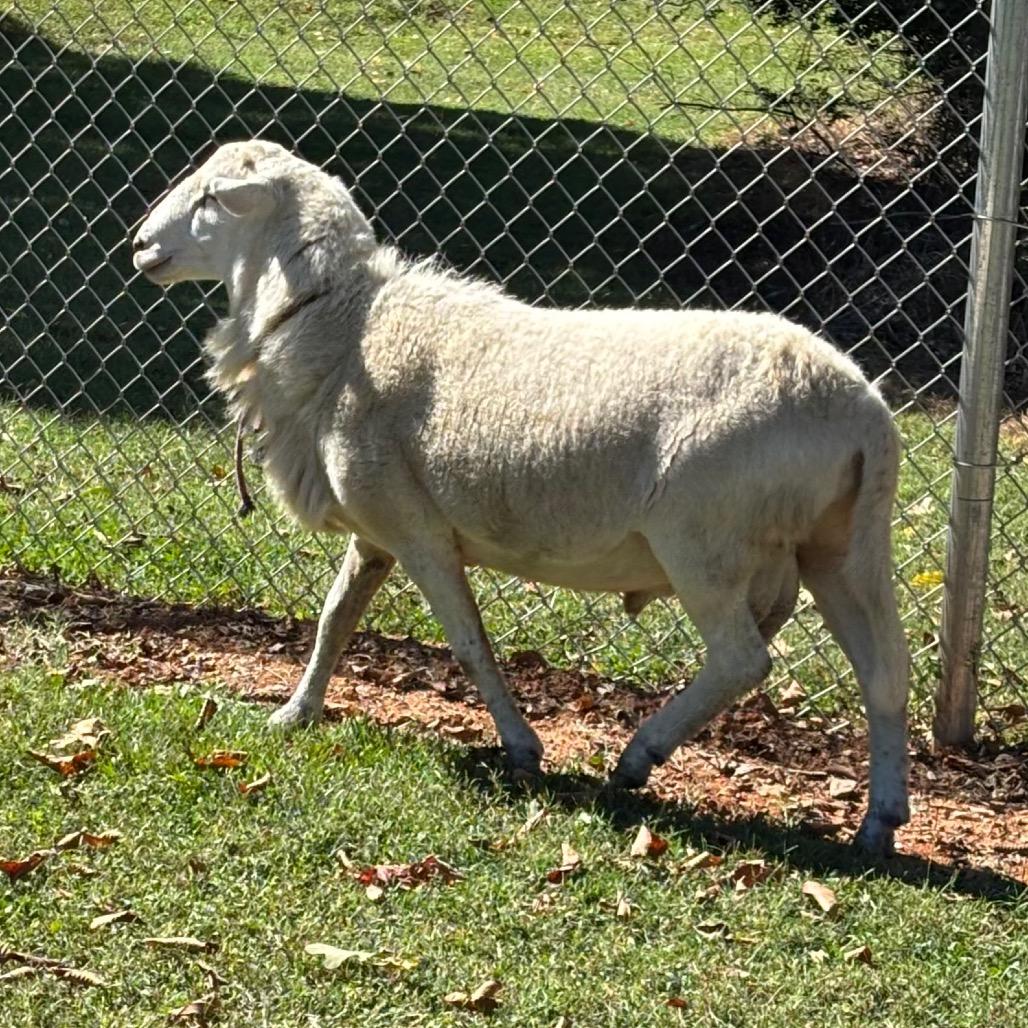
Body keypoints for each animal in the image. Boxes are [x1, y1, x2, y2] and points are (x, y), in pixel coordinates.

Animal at [131, 140, 909, 855]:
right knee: (882, 674)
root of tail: (864, 412)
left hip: (703, 542)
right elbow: (335, 617)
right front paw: (295, 713)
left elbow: (469, 644)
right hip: (838, 547)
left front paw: (520, 747)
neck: (346, 325)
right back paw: (880, 823)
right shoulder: (377, 529)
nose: (140, 244)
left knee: (744, 660)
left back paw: (638, 757)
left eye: (212, 198)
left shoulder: (418, 531)